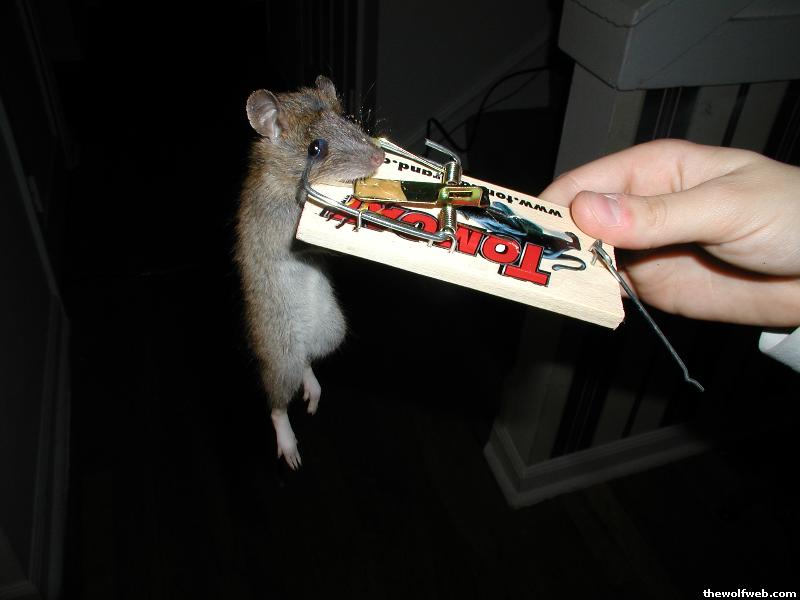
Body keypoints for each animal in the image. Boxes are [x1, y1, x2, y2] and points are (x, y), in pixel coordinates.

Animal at [235, 75, 385, 469]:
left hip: (332, 330)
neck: (280, 172)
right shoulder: (281, 225)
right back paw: (289, 446)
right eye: (316, 148)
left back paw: (313, 394)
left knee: (307, 364)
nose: (380, 157)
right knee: (277, 402)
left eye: (347, 119)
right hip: (280, 352)